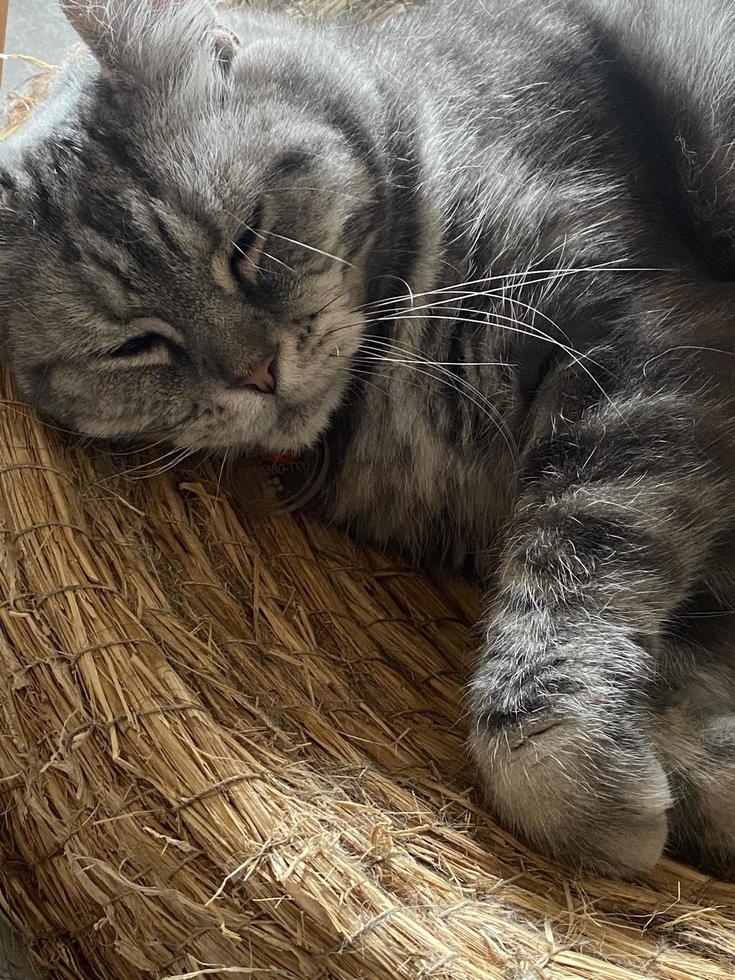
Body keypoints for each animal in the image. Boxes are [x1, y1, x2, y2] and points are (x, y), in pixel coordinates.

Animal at [1, 0, 735, 880]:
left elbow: (569, 584)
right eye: (134, 346)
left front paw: (575, 783)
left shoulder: (636, 355)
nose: (257, 373)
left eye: (247, 239)